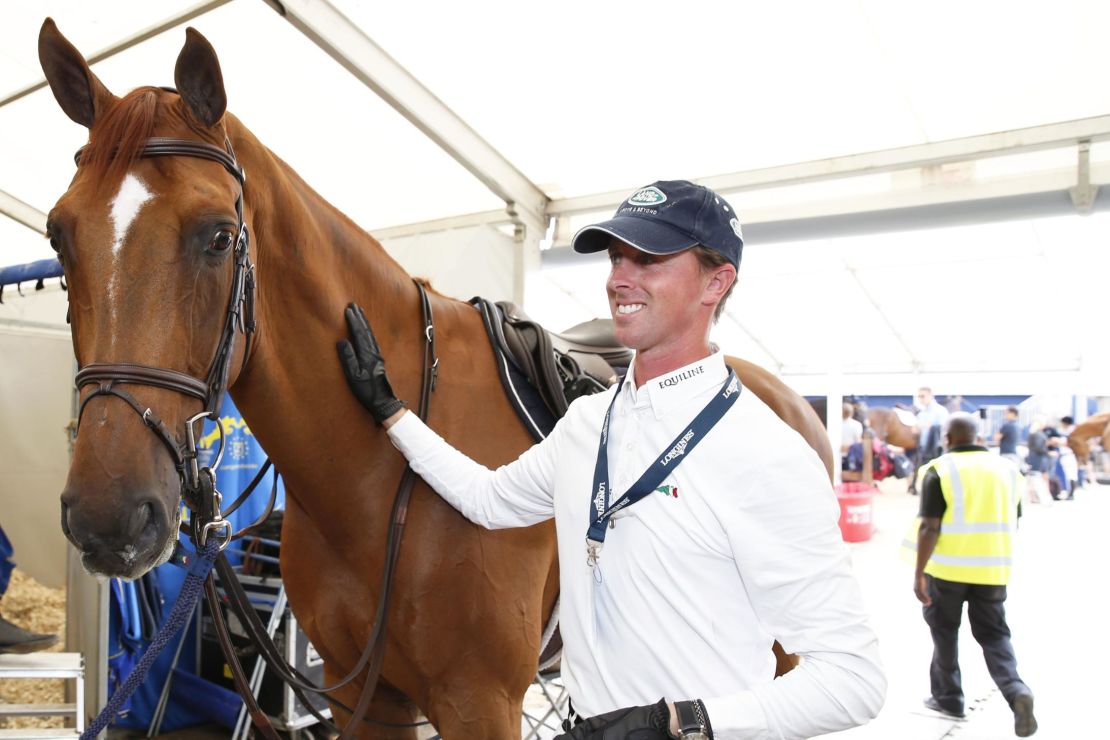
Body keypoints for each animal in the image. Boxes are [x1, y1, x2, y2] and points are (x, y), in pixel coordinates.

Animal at [39, 20, 830, 736]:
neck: (376, 485)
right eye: (58, 235)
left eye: (218, 236)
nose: (109, 514)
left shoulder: (480, 703)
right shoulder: (365, 702)